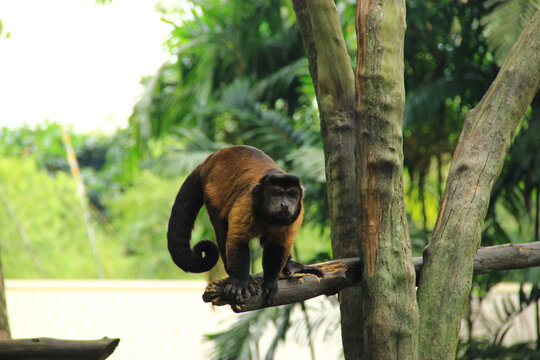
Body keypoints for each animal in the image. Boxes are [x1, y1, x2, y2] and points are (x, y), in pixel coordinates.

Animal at [167, 146, 322, 304]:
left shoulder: (298, 212)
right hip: (212, 194)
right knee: (222, 230)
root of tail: (207, 161)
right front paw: (240, 282)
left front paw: (270, 282)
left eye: (291, 196)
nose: (284, 205)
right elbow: (237, 239)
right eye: (277, 194)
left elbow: (279, 245)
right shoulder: (247, 201)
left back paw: (290, 265)